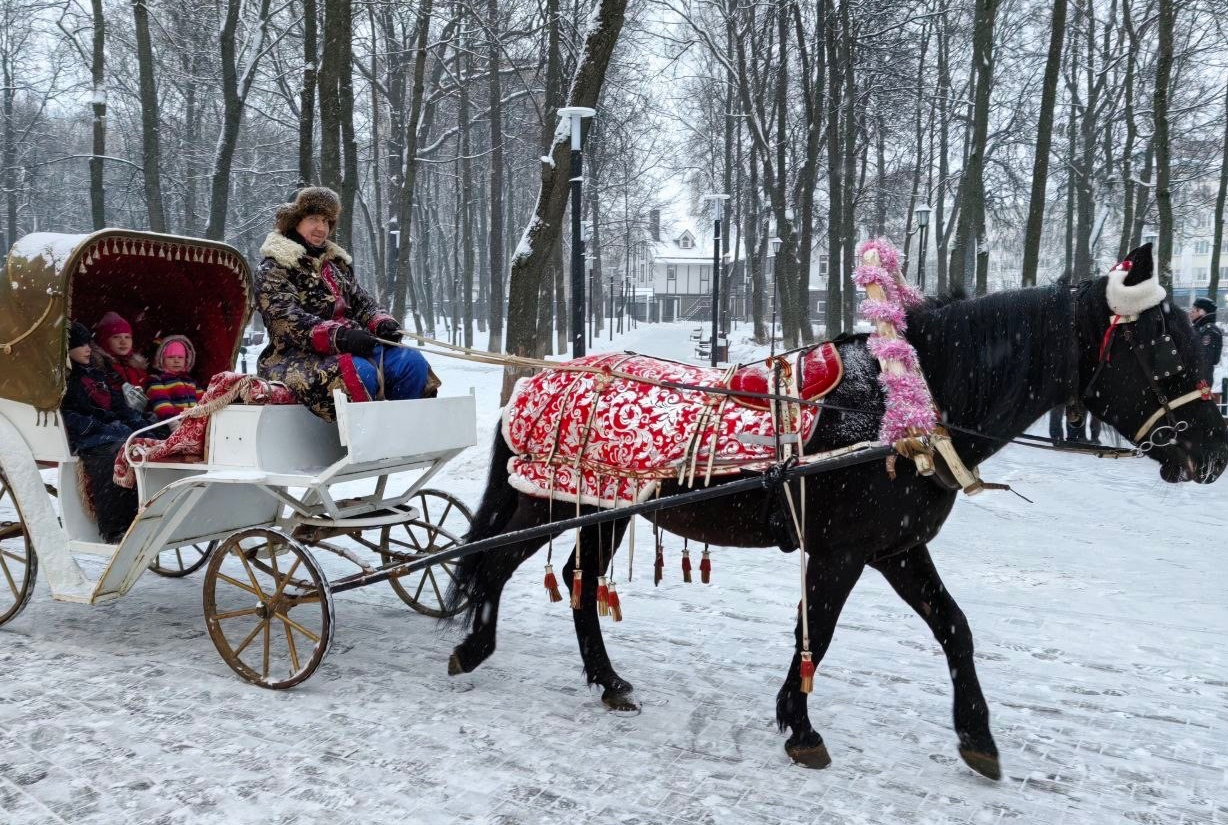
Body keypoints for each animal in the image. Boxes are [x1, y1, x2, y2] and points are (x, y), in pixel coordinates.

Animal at [444, 247, 1228, 775]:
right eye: (1162, 346)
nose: (1214, 450)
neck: (898, 408)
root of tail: (540, 378)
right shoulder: (842, 551)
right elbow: (814, 633)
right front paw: (800, 727)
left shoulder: (896, 547)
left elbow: (955, 629)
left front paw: (977, 736)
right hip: (550, 498)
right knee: (496, 562)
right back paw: (473, 646)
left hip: (603, 510)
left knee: (577, 584)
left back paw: (607, 682)